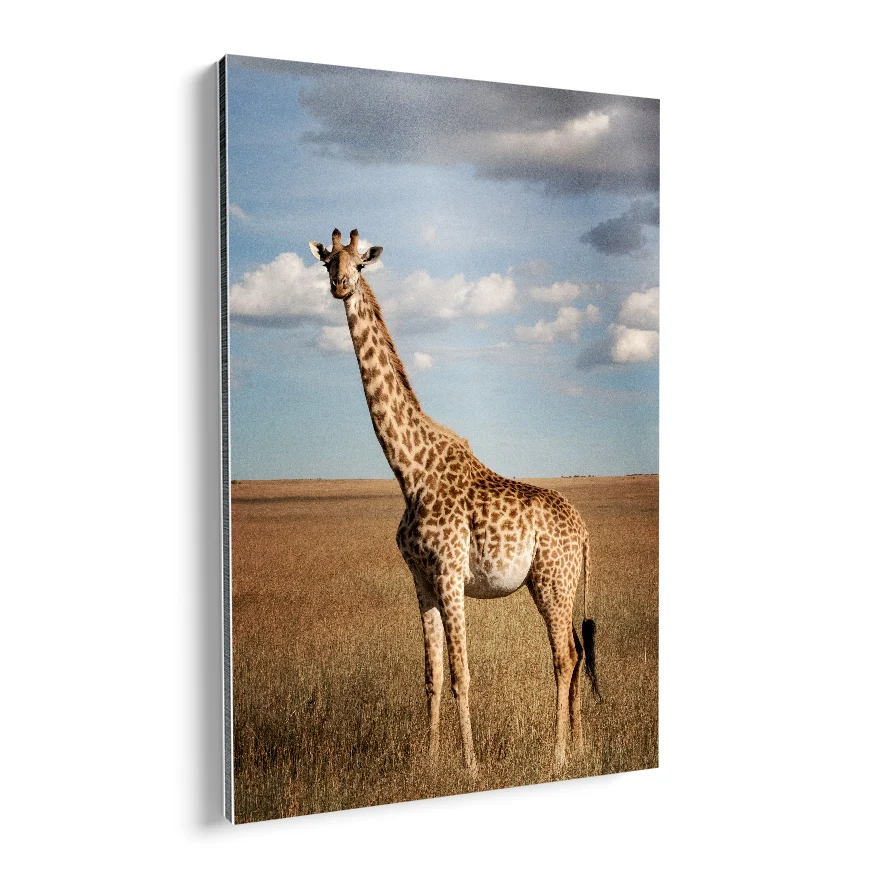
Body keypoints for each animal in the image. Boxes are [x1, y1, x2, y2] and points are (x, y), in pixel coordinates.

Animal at [309, 229, 601, 777]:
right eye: (327, 262)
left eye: (361, 262)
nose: (340, 286)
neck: (408, 470)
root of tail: (586, 531)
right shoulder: (421, 578)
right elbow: (433, 676)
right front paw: (429, 762)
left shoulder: (448, 573)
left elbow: (463, 674)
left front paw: (471, 766)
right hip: (556, 583)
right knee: (575, 649)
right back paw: (580, 747)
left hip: (552, 580)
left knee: (565, 657)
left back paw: (557, 756)